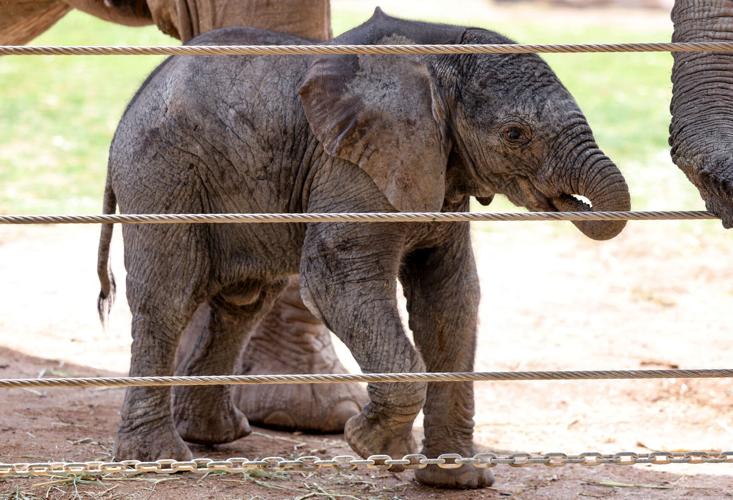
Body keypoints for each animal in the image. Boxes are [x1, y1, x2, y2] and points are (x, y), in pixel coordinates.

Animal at [96, 8, 630, 488]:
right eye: (515, 135)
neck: (439, 50)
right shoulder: (351, 165)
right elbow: (338, 283)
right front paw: (372, 446)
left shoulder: (435, 169)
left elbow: (451, 300)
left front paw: (457, 482)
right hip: (161, 175)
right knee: (168, 300)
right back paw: (160, 460)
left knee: (242, 302)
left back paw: (217, 436)